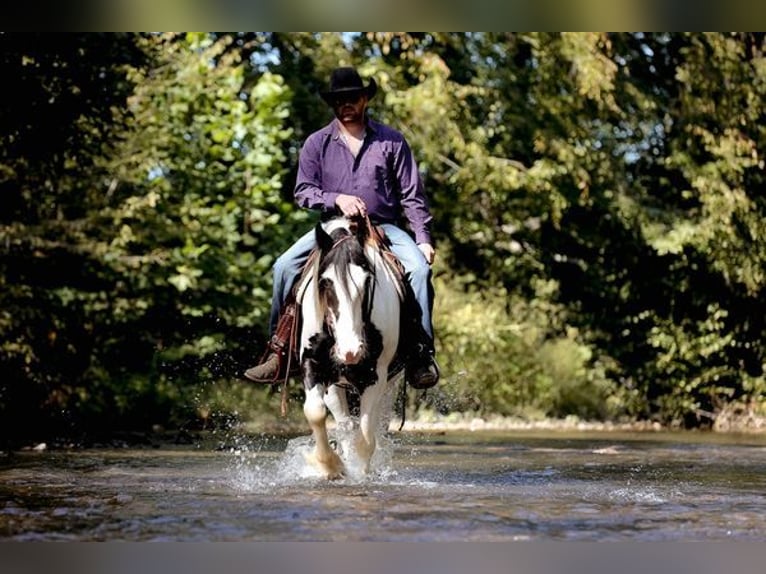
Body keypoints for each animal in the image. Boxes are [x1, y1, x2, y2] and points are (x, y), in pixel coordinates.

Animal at [296, 214, 408, 480]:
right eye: (326, 282)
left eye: (367, 280)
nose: (351, 351)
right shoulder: (312, 363)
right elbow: (315, 412)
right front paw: (331, 465)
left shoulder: (375, 375)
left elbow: (366, 436)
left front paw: (360, 472)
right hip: (336, 385)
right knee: (344, 422)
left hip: (390, 383)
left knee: (378, 424)